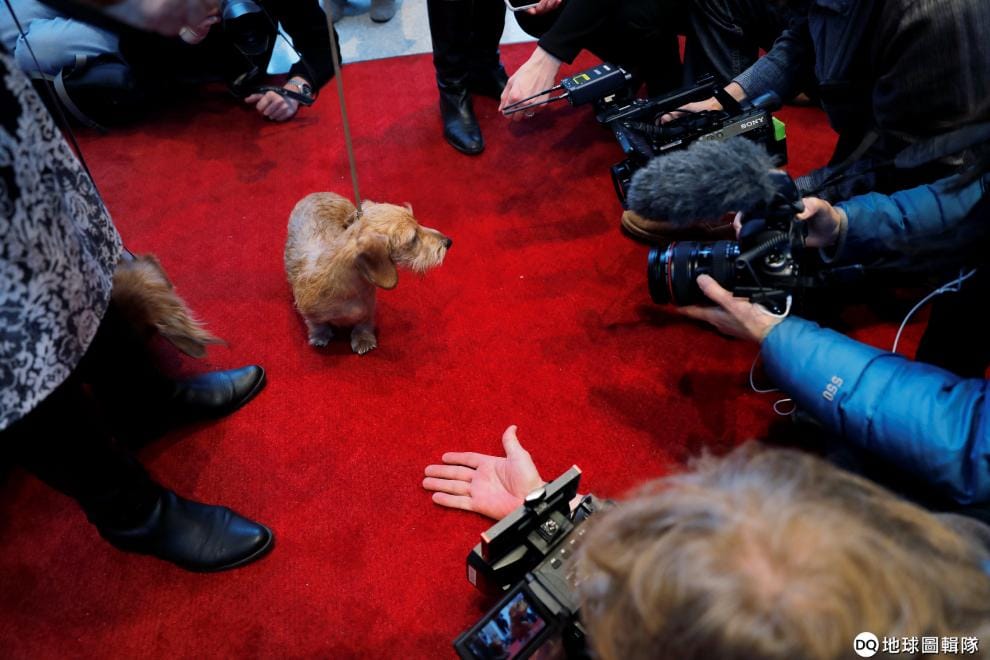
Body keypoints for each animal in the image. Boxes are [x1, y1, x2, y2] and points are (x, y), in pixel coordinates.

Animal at [284, 192, 452, 354]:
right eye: (413, 238)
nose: (448, 241)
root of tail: (319, 194)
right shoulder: (309, 312)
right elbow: (316, 323)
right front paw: (320, 335)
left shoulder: (368, 308)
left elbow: (363, 324)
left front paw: (363, 339)